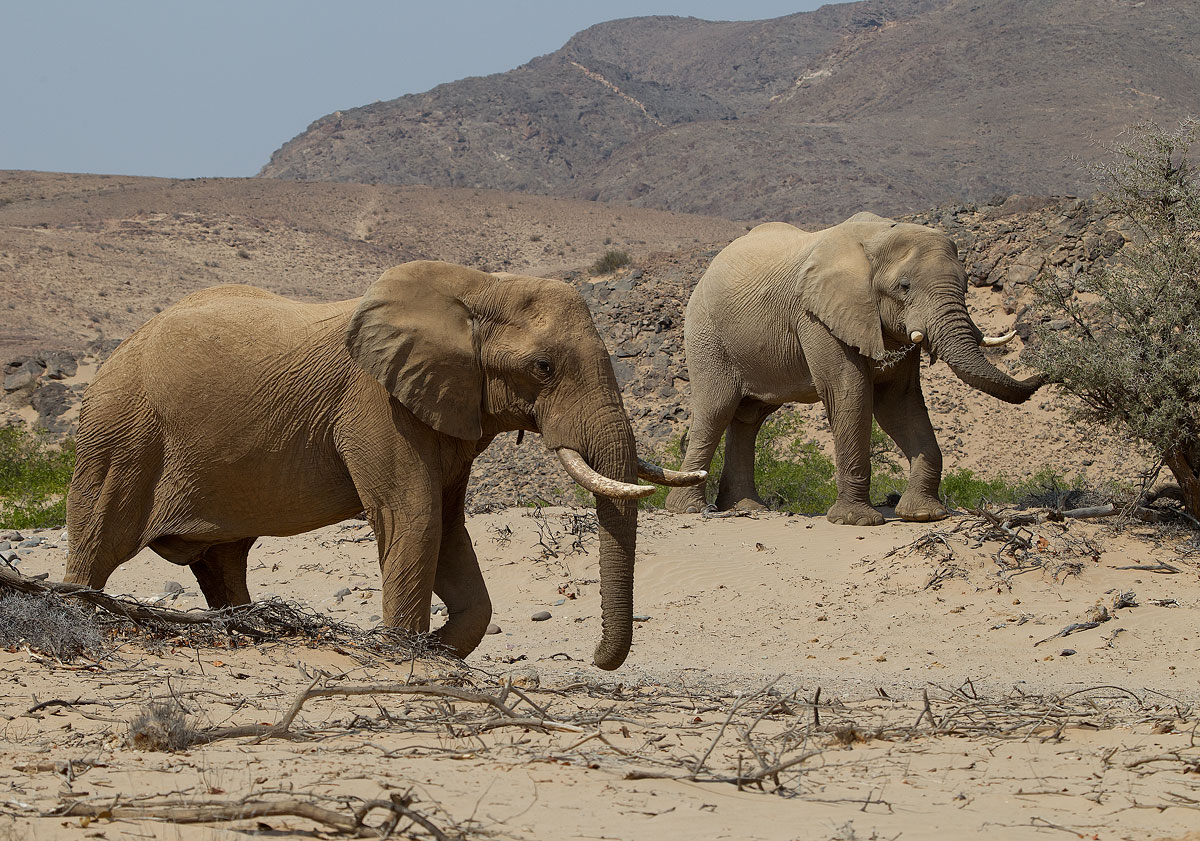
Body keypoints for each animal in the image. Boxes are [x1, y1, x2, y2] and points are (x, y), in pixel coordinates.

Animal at [64, 260, 704, 670]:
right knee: (97, 543)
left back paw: (247, 629)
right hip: (121, 437)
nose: (594, 660)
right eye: (543, 367)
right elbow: (414, 517)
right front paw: (405, 652)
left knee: (223, 562)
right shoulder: (378, 404)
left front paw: (438, 647)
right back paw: (79, 618)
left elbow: (448, 526)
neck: (476, 288)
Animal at [665, 212, 1043, 525]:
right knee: (717, 409)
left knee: (749, 418)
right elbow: (850, 392)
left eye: (966, 284)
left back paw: (748, 508)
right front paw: (856, 521)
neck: (877, 238)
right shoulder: (817, 316)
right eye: (904, 286)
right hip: (706, 334)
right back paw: (688, 509)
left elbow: (898, 403)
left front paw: (923, 515)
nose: (1044, 374)